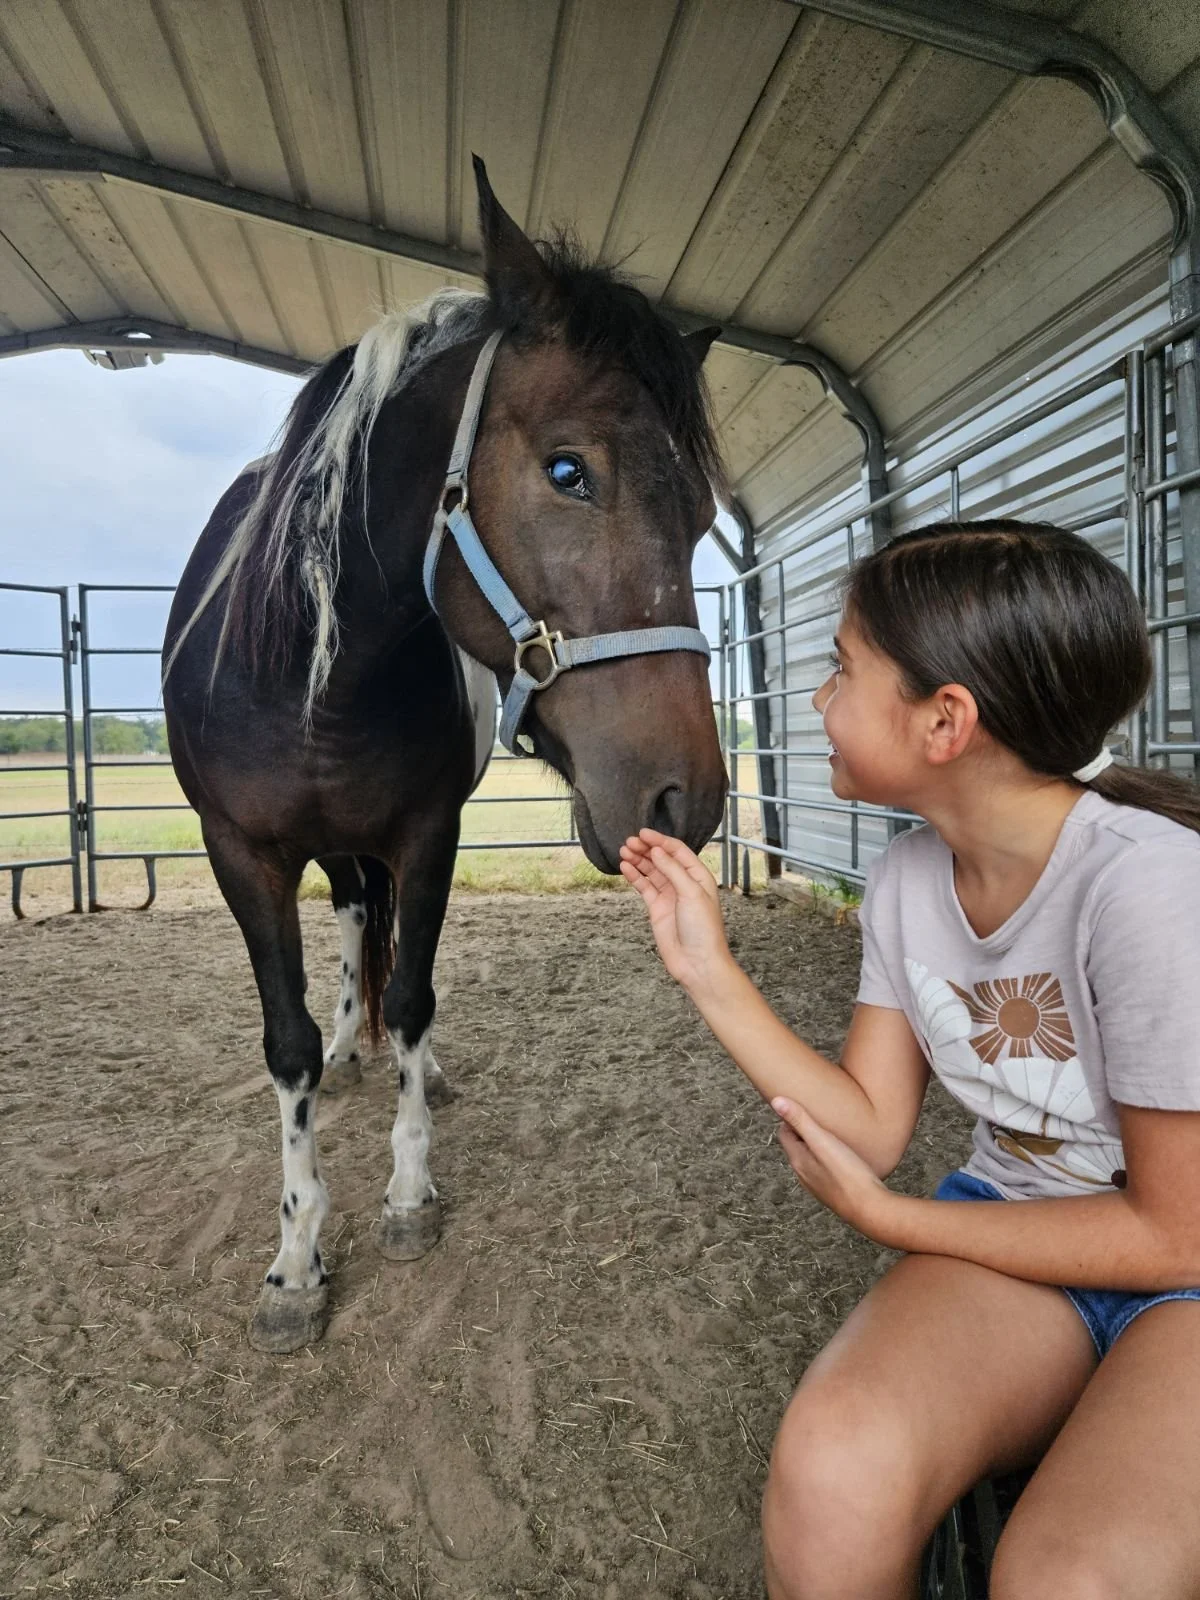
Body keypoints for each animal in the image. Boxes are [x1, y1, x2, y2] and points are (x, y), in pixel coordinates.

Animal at [162, 158, 728, 1354]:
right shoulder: (242, 855)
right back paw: (349, 1046)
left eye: (704, 511)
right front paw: (295, 1258)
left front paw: (409, 1192)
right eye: (568, 470)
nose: (686, 796)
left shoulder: (429, 835)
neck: (317, 674)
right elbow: (286, 1041)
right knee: (346, 928)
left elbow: (416, 994)